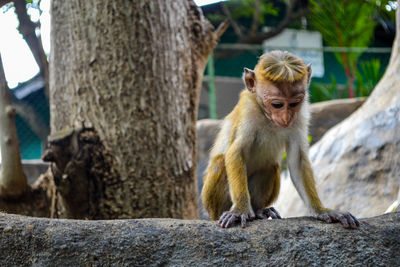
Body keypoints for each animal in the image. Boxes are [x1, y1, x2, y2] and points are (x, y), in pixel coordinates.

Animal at [202, 50, 360, 230]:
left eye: (294, 103)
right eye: (277, 104)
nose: (285, 118)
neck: (267, 116)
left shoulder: (300, 116)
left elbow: (297, 160)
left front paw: (322, 211)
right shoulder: (248, 109)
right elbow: (236, 152)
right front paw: (240, 210)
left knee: (269, 166)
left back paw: (259, 211)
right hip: (211, 203)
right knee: (221, 161)